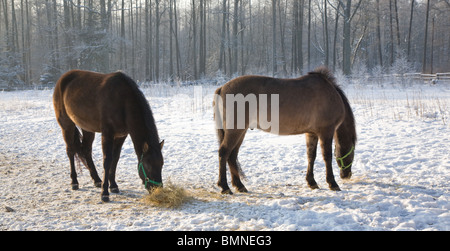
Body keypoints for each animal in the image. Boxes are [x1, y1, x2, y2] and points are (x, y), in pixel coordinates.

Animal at [53, 70, 164, 202]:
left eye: (161, 164)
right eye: (148, 165)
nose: (158, 190)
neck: (123, 101)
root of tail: (62, 79)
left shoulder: (121, 135)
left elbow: (115, 159)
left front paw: (113, 185)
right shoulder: (107, 133)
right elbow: (107, 160)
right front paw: (105, 193)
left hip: (88, 129)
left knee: (86, 150)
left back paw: (96, 180)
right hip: (67, 125)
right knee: (70, 151)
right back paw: (74, 182)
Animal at [213, 66, 356, 194]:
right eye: (352, 152)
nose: (346, 175)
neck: (330, 94)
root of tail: (222, 88)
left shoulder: (311, 133)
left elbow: (311, 156)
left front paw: (312, 182)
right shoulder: (326, 132)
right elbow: (327, 157)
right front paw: (332, 183)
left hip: (240, 131)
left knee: (232, 155)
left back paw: (239, 186)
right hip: (235, 130)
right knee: (224, 152)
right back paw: (225, 187)